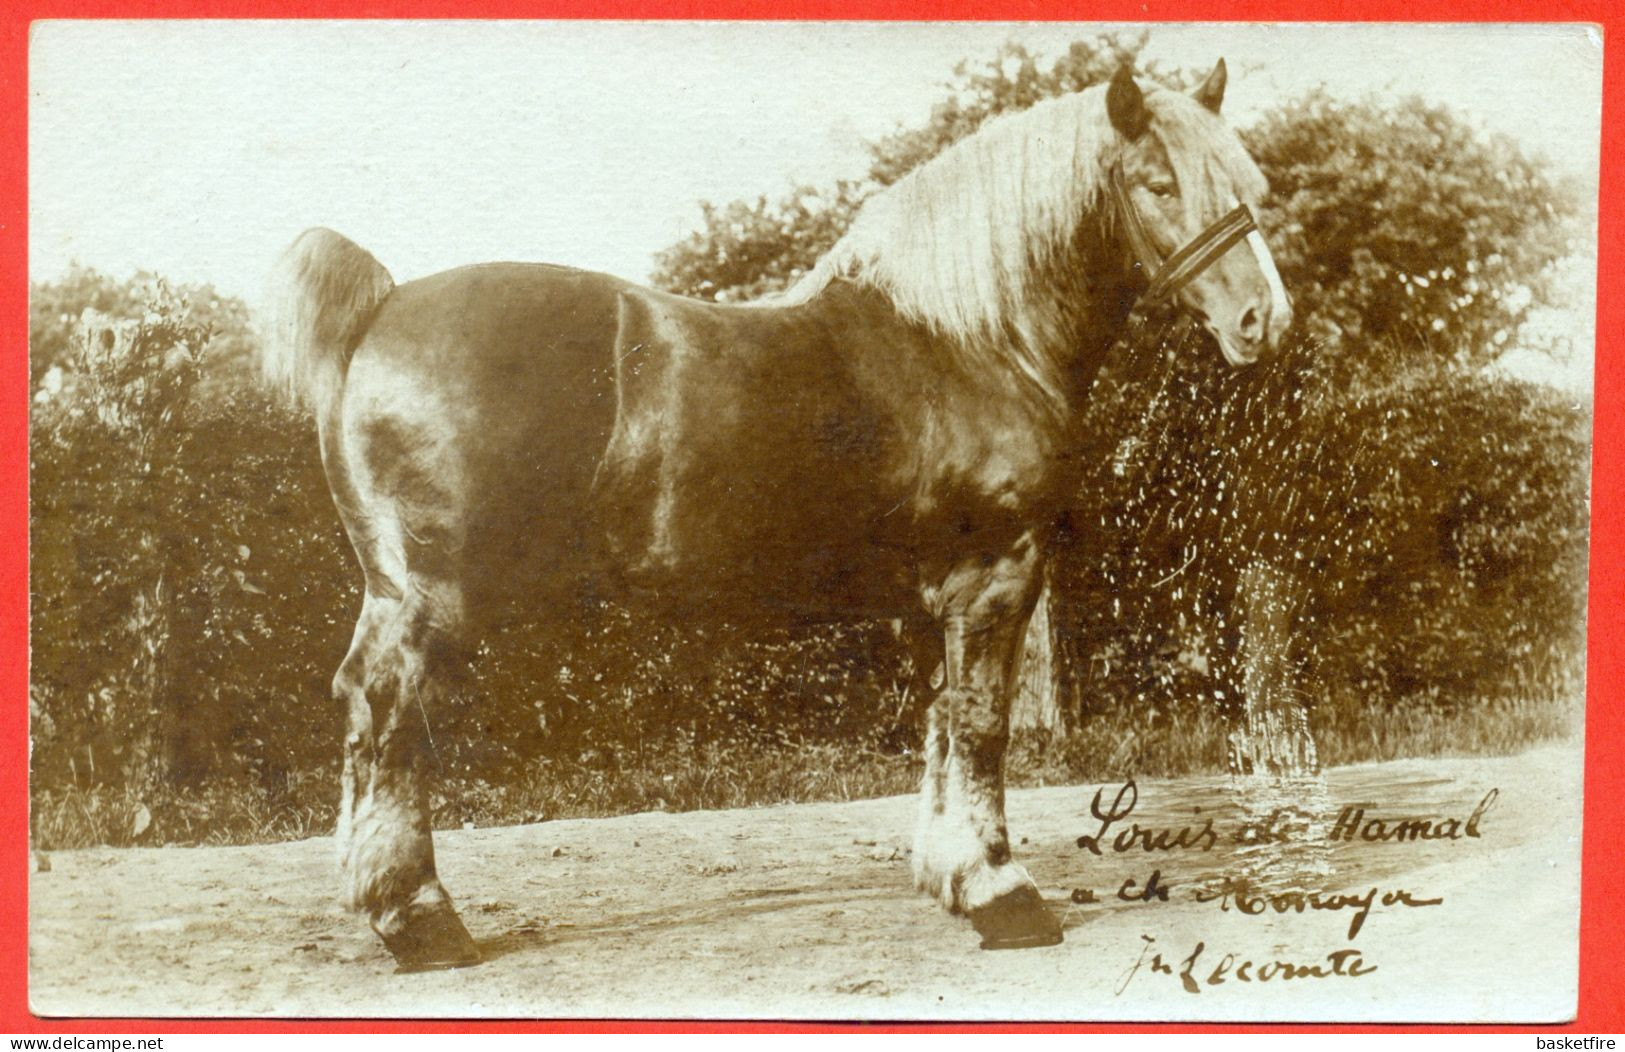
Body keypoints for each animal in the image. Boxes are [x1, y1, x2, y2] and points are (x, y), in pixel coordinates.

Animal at [260, 63, 1287, 969]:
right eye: (1157, 183)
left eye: (1249, 185)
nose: (1262, 322)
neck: (970, 340)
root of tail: (382, 308)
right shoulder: (995, 572)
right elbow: (983, 723)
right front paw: (1004, 894)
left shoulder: (935, 598)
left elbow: (941, 723)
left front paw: (951, 879)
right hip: (428, 597)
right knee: (388, 711)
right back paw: (421, 921)